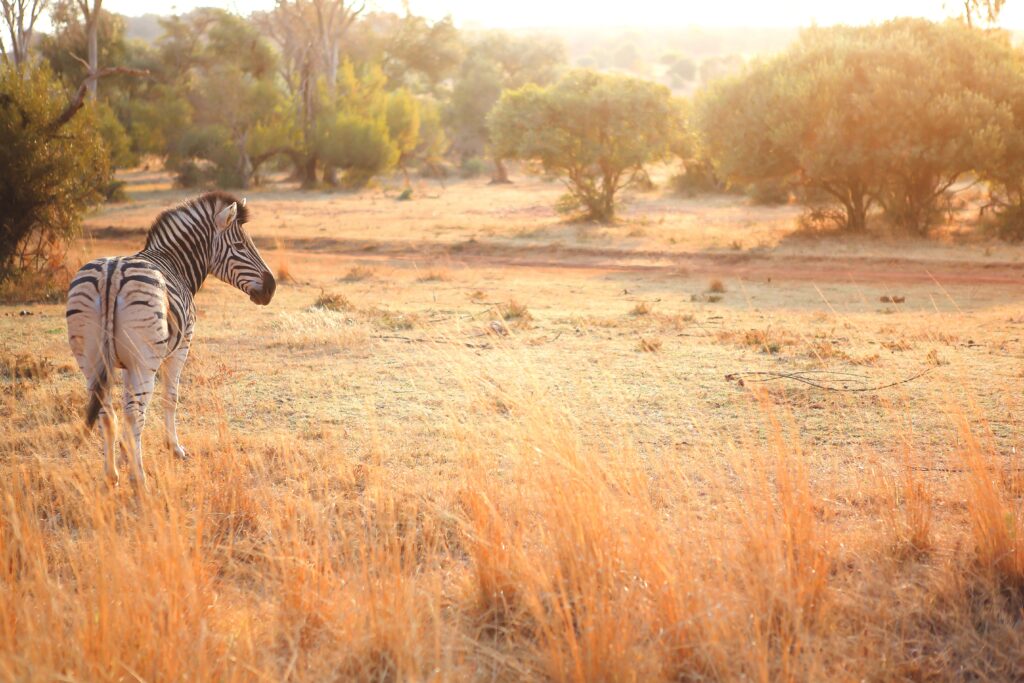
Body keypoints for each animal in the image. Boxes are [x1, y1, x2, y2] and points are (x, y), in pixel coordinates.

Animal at [66, 191, 276, 488]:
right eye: (240, 245)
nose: (272, 287)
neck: (175, 263)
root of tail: (112, 273)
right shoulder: (182, 346)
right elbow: (171, 397)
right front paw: (174, 448)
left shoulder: (127, 363)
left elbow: (129, 404)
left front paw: (125, 453)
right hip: (145, 360)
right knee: (134, 412)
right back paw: (139, 478)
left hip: (89, 356)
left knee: (108, 412)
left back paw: (111, 475)